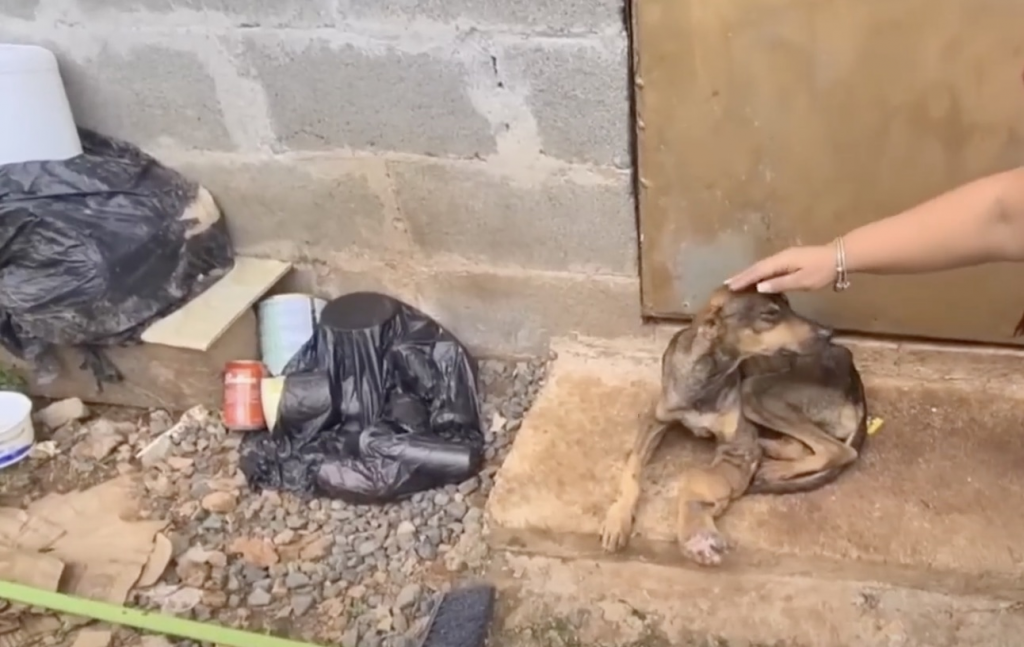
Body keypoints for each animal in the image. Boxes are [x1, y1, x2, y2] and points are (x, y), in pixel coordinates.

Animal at [599, 286, 868, 566]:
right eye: (769, 314)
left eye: (789, 306)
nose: (829, 332)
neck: (707, 374)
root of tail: (854, 378)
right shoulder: (656, 418)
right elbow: (632, 467)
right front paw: (617, 518)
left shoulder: (737, 447)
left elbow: (694, 476)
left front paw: (696, 533)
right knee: (808, 446)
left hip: (755, 391)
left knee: (839, 450)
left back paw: (775, 468)